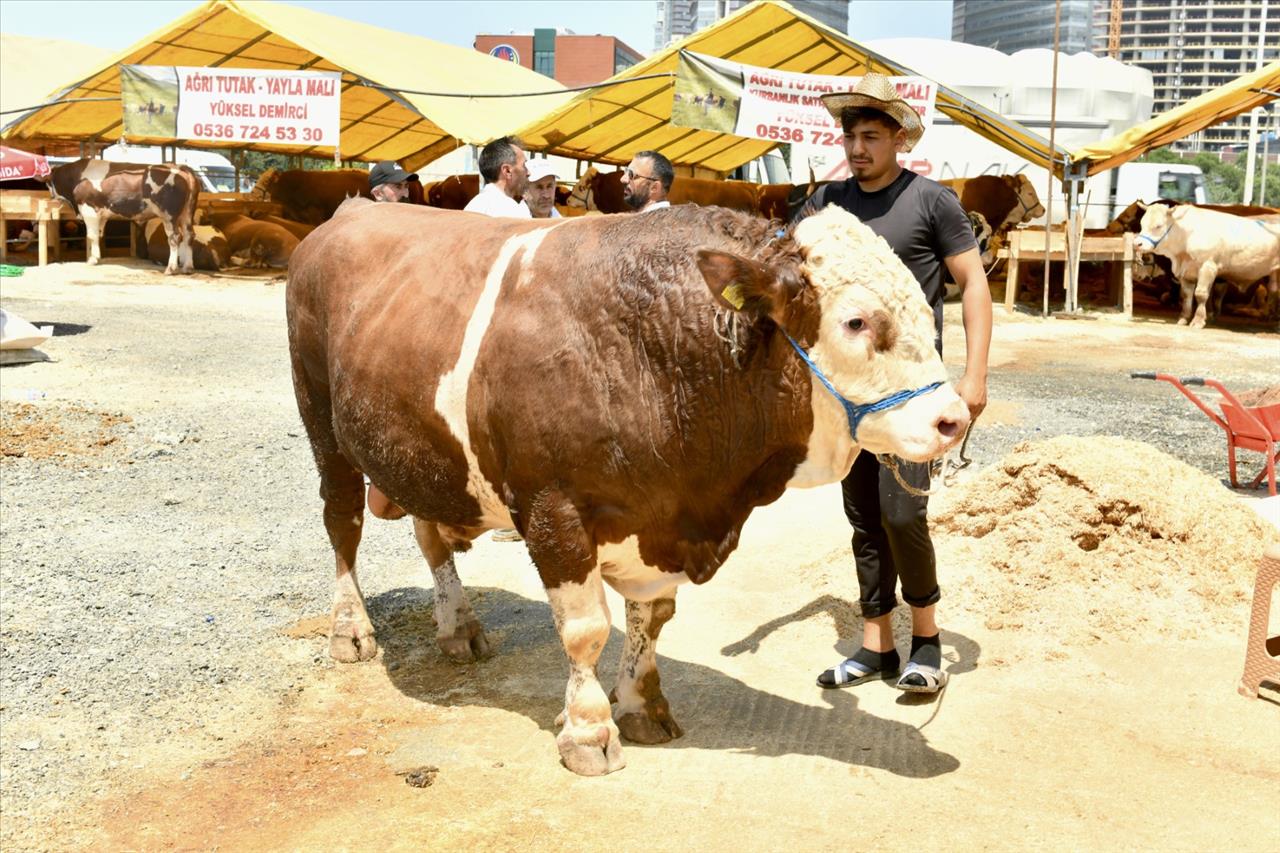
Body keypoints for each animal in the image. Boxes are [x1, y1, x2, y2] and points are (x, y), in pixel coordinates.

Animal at [42, 157, 198, 274]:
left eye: (48, 184)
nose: (51, 196)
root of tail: (180, 167)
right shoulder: (101, 214)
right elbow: (98, 235)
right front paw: (97, 257)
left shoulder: (88, 209)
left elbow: (91, 235)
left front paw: (92, 260)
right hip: (186, 214)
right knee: (189, 235)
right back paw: (188, 267)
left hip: (169, 215)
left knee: (175, 237)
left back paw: (170, 268)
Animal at [288, 199, 967, 768]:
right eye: (856, 322)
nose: (953, 419)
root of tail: (350, 209)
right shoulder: (552, 508)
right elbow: (585, 629)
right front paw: (588, 730)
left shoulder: (660, 515)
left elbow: (652, 617)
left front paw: (642, 705)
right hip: (323, 421)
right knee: (342, 522)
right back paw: (351, 630)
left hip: (424, 450)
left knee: (431, 534)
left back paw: (458, 626)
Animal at [1141, 202, 1280, 327]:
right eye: (1141, 224)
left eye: (1158, 226)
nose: (1138, 243)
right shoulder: (1187, 273)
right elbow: (1186, 296)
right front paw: (1184, 319)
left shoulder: (1208, 267)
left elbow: (1201, 294)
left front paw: (1198, 321)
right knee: (1275, 291)